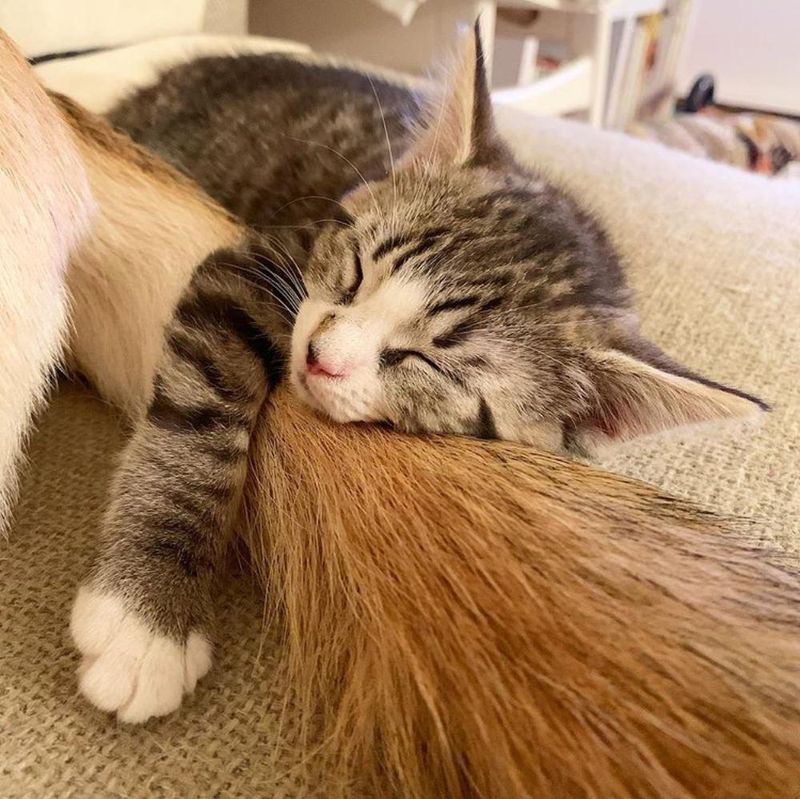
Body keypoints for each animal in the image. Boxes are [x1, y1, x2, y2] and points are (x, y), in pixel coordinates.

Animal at [72, 29, 764, 720]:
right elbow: (200, 421)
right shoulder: (261, 261)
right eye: (354, 270)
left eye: (425, 361)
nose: (318, 354)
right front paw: (148, 618)